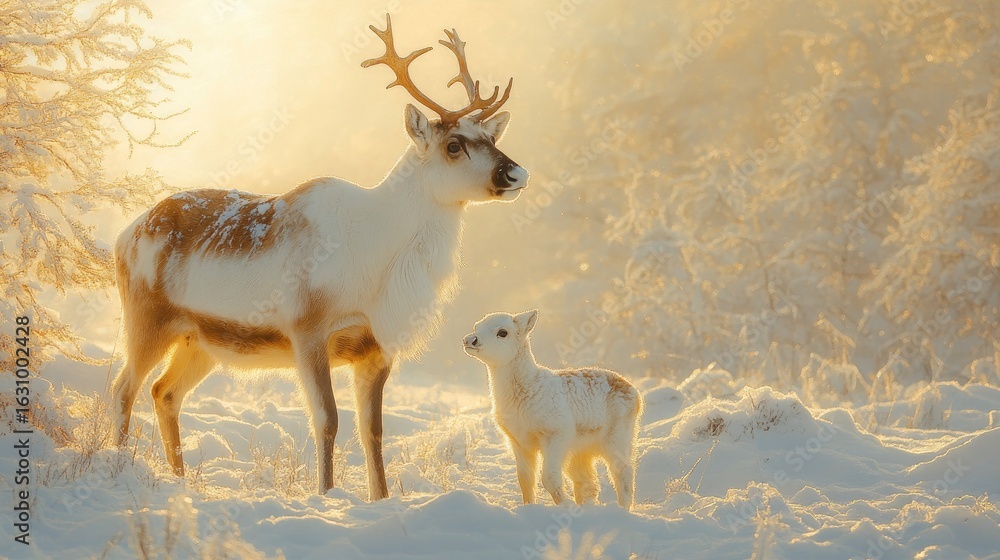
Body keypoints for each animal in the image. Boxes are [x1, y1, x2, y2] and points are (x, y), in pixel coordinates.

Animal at [111, 15, 527, 500]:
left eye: (491, 137)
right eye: (454, 145)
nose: (516, 172)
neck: (382, 258)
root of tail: (125, 234)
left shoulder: (374, 347)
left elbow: (373, 431)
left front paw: (378, 498)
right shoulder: (307, 328)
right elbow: (327, 420)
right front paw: (326, 496)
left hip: (199, 339)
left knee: (164, 393)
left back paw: (179, 480)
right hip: (147, 317)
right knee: (124, 388)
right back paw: (119, 468)